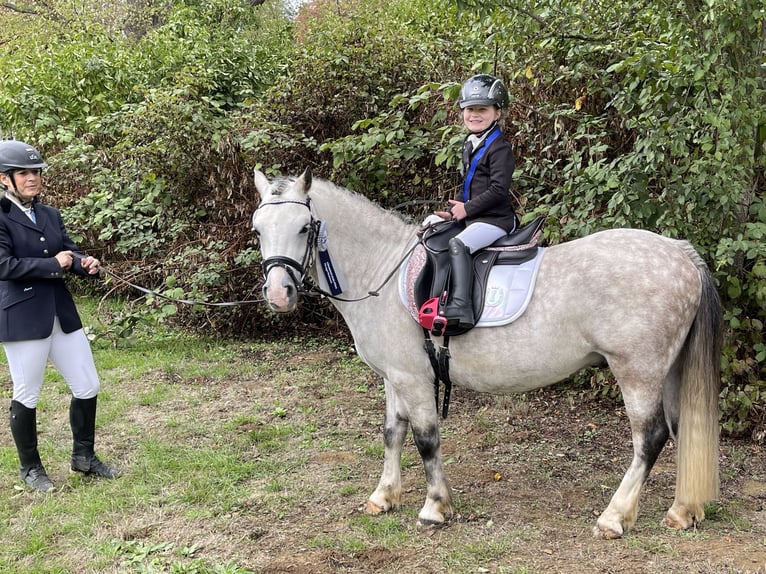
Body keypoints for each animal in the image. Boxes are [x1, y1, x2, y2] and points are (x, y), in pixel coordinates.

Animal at [250, 166, 720, 540]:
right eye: (258, 230)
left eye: (303, 228)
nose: (278, 294)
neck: (382, 268)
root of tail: (679, 252)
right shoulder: (394, 375)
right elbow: (392, 432)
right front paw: (384, 497)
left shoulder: (414, 379)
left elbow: (425, 439)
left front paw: (434, 507)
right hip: (668, 370)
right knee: (681, 429)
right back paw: (683, 511)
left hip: (637, 371)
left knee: (650, 438)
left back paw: (615, 517)